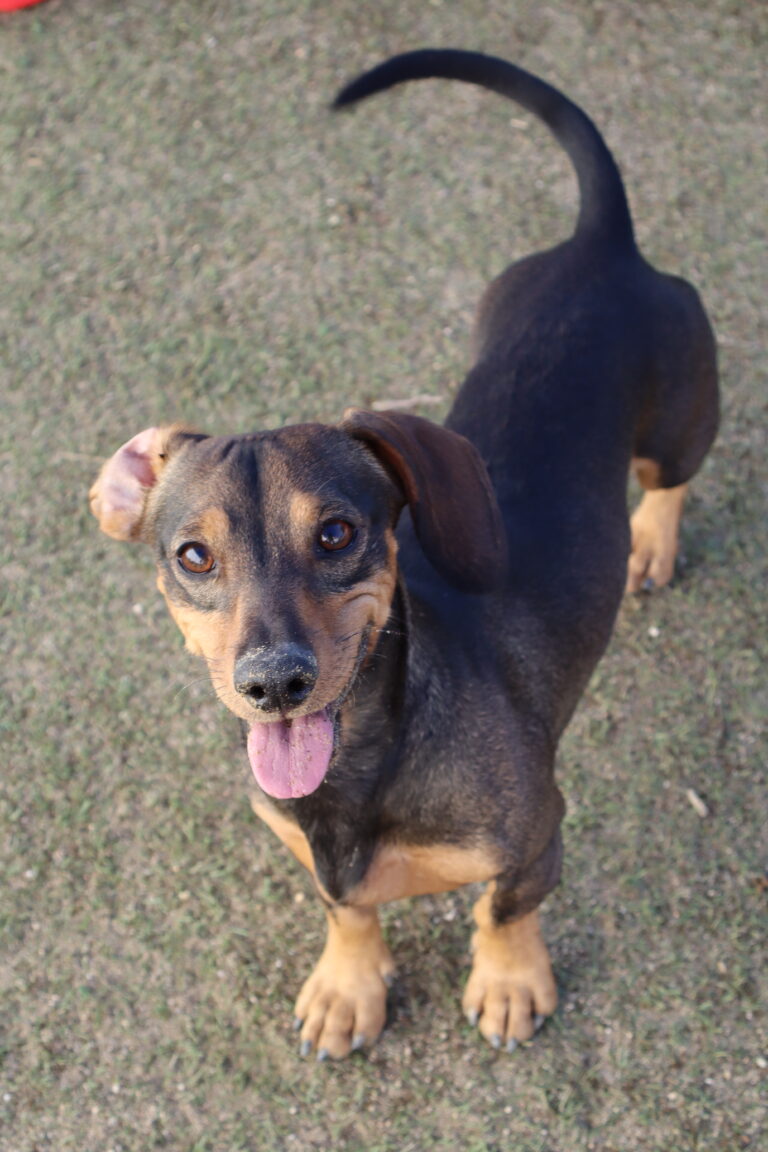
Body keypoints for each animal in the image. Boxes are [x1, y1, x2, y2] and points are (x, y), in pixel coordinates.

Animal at [91, 49, 723, 1055]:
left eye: (338, 532)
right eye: (192, 556)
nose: (275, 683)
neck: (360, 767)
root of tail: (605, 247)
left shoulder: (537, 832)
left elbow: (505, 908)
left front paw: (509, 982)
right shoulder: (313, 857)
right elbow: (346, 908)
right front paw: (347, 986)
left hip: (680, 425)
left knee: (669, 479)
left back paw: (653, 544)